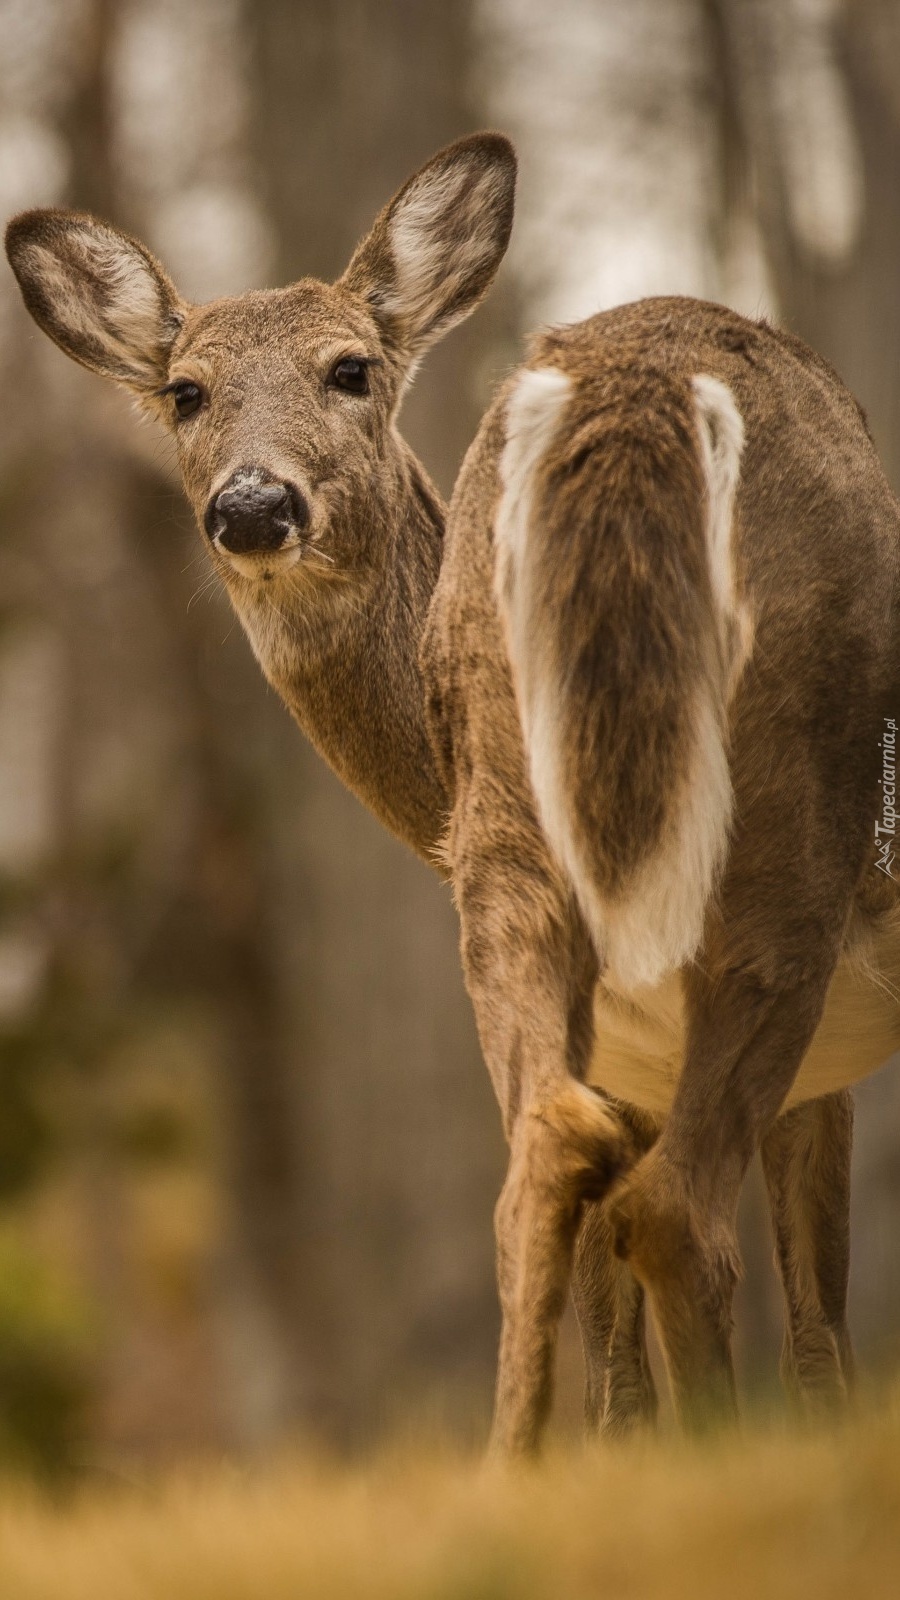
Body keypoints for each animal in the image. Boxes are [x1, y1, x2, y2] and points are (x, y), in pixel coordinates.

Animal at [7, 134, 896, 1465]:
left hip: (521, 826)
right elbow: (814, 1336)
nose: (253, 505)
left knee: (554, 1162)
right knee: (674, 1209)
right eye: (186, 390)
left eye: (351, 369)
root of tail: (632, 396)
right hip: (790, 823)